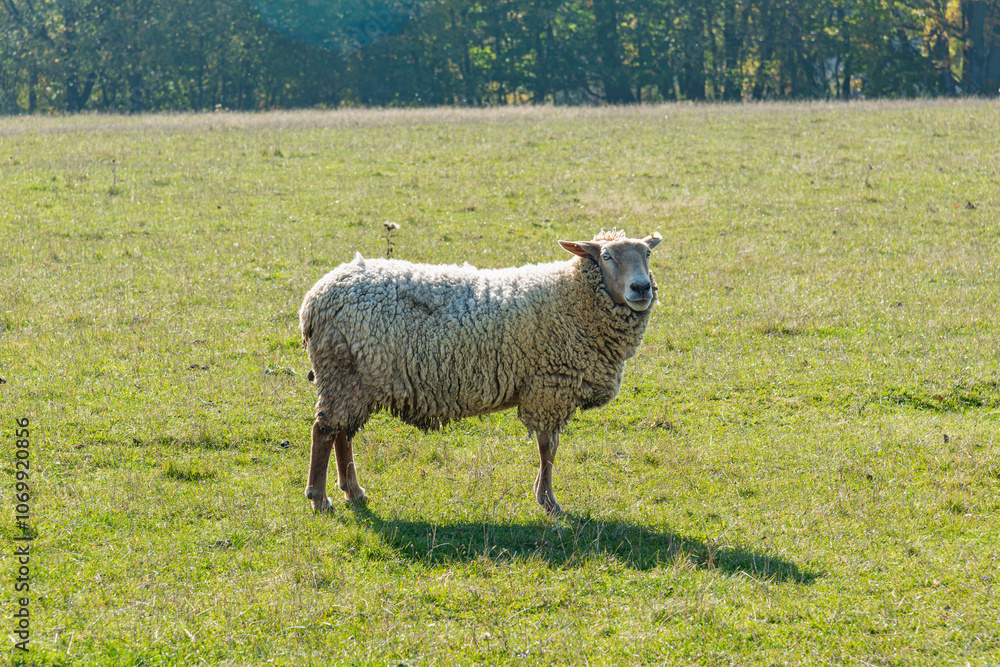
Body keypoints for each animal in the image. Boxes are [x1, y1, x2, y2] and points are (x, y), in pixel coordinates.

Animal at [299, 228, 661, 514]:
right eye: (607, 256)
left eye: (647, 254)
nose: (641, 288)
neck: (571, 298)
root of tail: (315, 298)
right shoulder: (549, 389)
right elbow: (548, 447)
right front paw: (548, 501)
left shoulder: (550, 391)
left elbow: (550, 447)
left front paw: (543, 495)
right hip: (341, 371)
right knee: (324, 431)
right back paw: (319, 498)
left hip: (352, 378)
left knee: (342, 432)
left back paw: (353, 490)